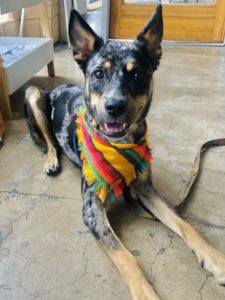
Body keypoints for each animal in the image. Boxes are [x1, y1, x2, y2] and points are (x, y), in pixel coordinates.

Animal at [24, 4, 225, 300]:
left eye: (138, 74)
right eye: (98, 73)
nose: (115, 107)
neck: (120, 145)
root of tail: (55, 86)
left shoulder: (146, 188)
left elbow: (185, 223)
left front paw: (215, 258)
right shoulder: (92, 207)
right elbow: (125, 257)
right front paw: (145, 293)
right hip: (33, 94)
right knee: (49, 141)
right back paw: (51, 160)